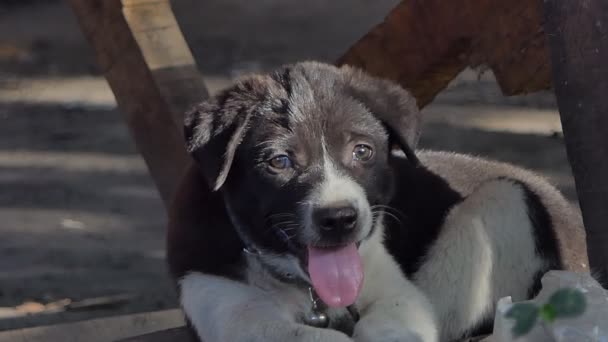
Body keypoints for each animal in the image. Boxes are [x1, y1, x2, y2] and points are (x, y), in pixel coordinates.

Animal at [167, 62, 588, 342]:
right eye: (280, 162)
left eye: (362, 151)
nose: (340, 218)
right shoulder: (230, 308)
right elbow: (310, 335)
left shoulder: (396, 293)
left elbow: (384, 324)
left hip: (506, 199)